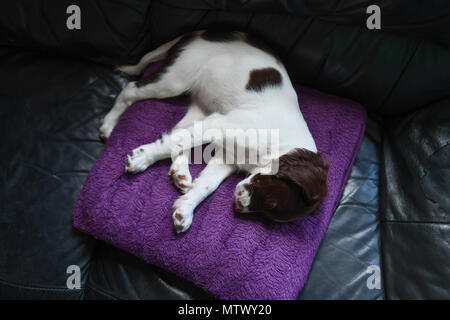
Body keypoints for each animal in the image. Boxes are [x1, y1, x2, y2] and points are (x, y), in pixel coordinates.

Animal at [100, 30, 328, 232]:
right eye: (271, 203)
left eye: (271, 212)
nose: (237, 206)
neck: (279, 145)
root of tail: (203, 32)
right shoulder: (220, 124)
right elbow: (176, 141)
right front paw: (140, 157)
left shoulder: (228, 155)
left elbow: (208, 183)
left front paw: (185, 209)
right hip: (175, 80)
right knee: (130, 90)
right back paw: (109, 125)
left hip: (201, 105)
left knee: (178, 130)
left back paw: (180, 173)